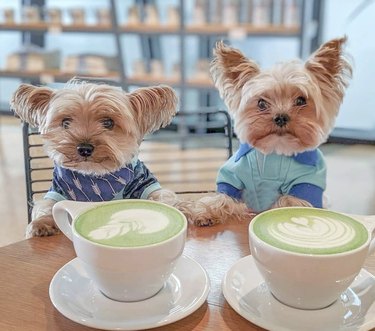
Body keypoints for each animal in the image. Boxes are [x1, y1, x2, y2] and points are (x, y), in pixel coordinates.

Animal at [192, 37, 354, 227]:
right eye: (261, 103)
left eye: (301, 100)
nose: (281, 117)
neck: (275, 152)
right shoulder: (232, 178)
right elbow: (222, 197)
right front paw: (205, 212)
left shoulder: (306, 184)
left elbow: (289, 203)